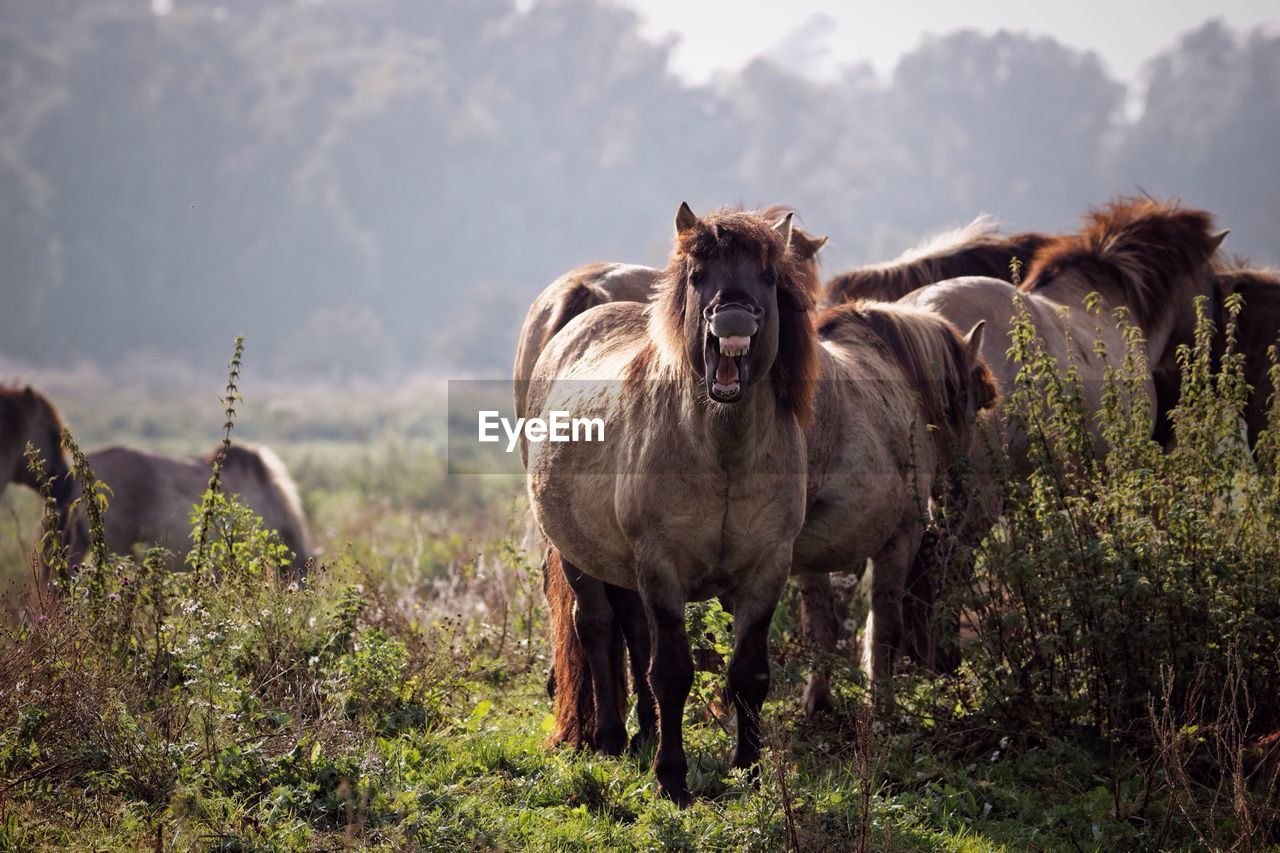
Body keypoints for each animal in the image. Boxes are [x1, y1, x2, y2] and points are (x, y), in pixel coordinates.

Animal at [522, 202, 814, 799]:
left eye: (768, 276)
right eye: (698, 276)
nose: (732, 321)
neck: (723, 456)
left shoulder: (767, 569)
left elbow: (748, 675)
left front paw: (748, 770)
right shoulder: (662, 567)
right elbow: (672, 672)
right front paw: (672, 779)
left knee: (633, 630)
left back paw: (644, 733)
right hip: (579, 555)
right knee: (597, 627)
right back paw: (611, 738)